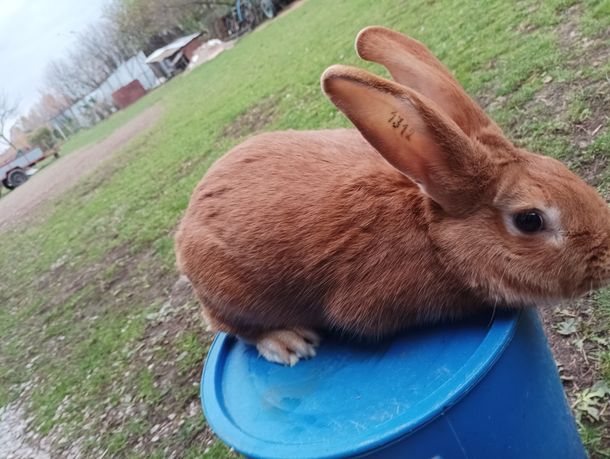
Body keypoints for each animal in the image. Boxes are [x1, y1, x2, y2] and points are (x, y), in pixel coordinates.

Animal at [175, 27, 608, 366]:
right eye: (529, 220)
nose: (606, 258)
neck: (434, 240)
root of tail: (188, 223)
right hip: (234, 294)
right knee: (232, 327)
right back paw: (288, 343)